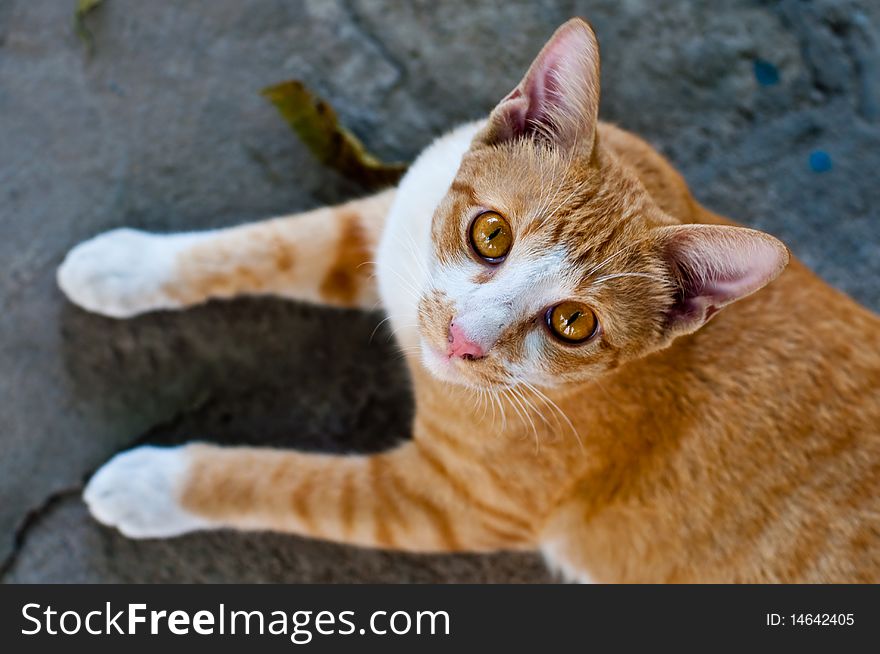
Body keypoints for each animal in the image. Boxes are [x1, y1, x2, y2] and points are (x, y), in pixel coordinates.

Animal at [58, 19, 876, 584]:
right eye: (491, 234)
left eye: (573, 324)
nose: (460, 340)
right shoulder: (392, 228)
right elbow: (276, 244)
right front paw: (125, 265)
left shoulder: (446, 504)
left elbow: (289, 483)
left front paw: (153, 485)